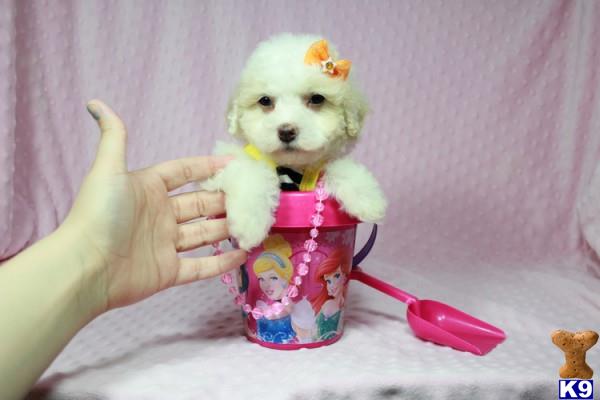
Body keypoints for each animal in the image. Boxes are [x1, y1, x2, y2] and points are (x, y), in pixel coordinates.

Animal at [202, 32, 386, 250]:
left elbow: (335, 167)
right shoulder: (220, 166)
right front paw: (250, 223)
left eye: (317, 99)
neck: (291, 171)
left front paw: (367, 196)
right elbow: (251, 168)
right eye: (265, 101)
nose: (287, 131)